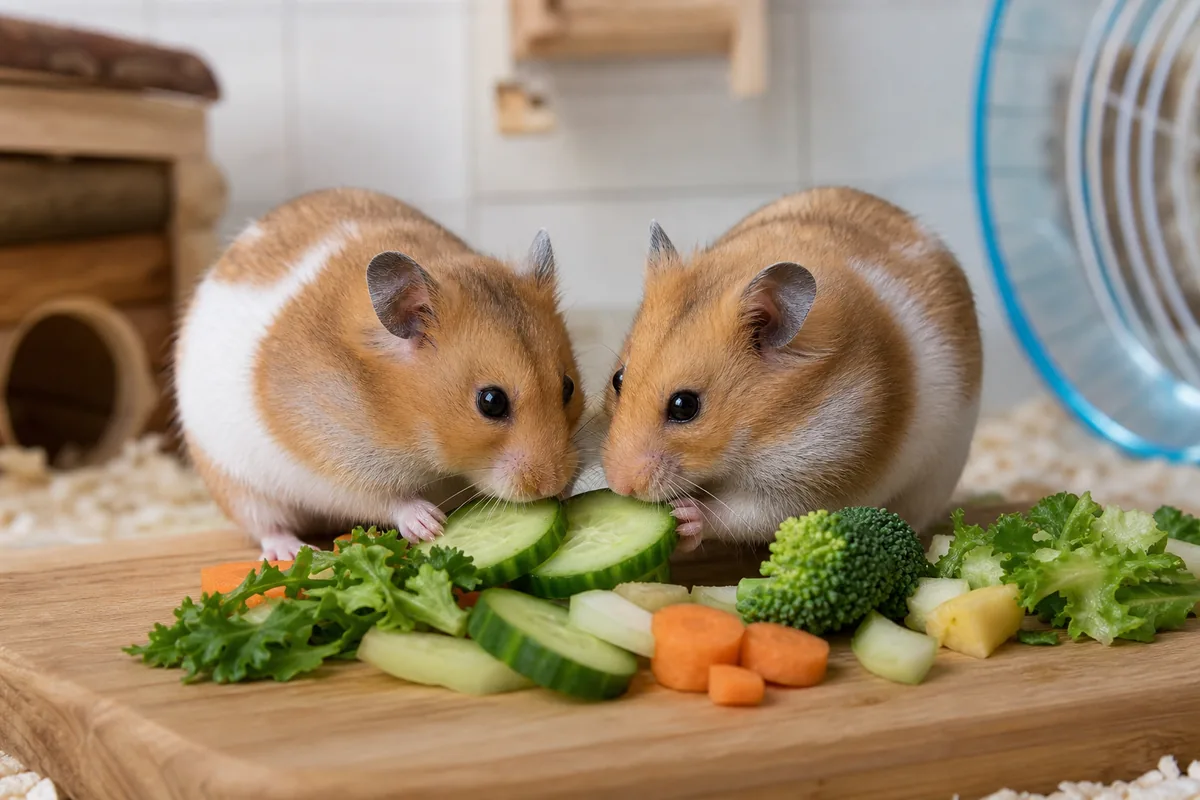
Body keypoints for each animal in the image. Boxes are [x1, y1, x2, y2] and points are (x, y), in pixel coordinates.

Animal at [175, 188, 584, 560]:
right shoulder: (330, 464)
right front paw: (430, 523)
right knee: (265, 526)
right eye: (491, 402)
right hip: (235, 485)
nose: (552, 485)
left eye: (568, 387)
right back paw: (290, 552)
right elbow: (385, 499)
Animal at [599, 186, 982, 552]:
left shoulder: (818, 469)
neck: (766, 427)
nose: (620, 486)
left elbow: (746, 512)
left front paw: (686, 518)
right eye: (618, 379)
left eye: (684, 406)